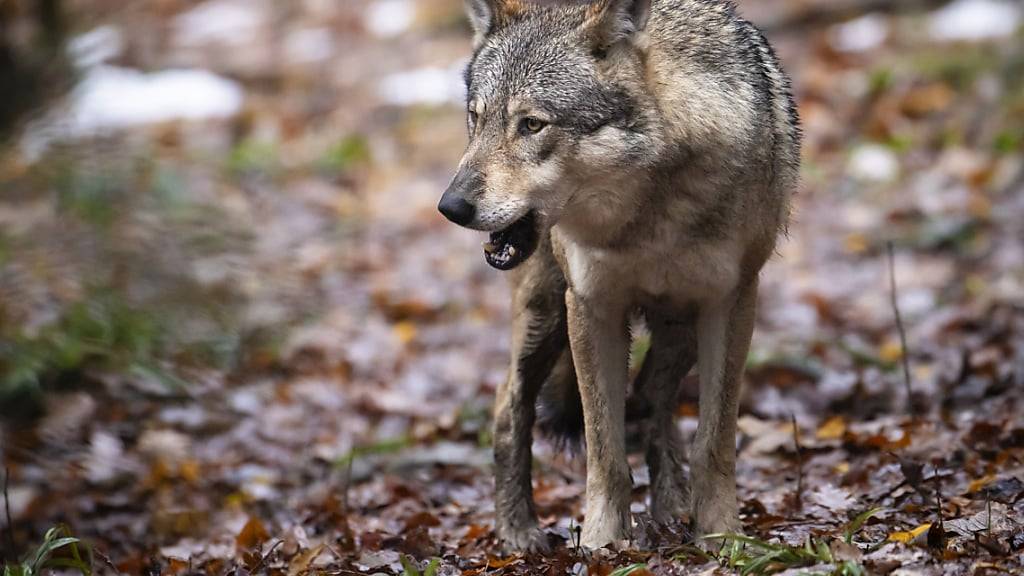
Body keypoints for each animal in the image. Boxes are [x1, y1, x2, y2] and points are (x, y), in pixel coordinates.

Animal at [436, 0, 802, 549]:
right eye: (476, 120)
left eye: (532, 124)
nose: (451, 207)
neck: (648, 214)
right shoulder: (591, 306)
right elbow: (603, 449)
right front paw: (602, 545)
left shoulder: (732, 301)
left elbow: (714, 441)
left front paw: (721, 536)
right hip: (546, 316)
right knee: (509, 405)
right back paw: (518, 532)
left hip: (679, 329)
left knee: (651, 398)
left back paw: (672, 507)